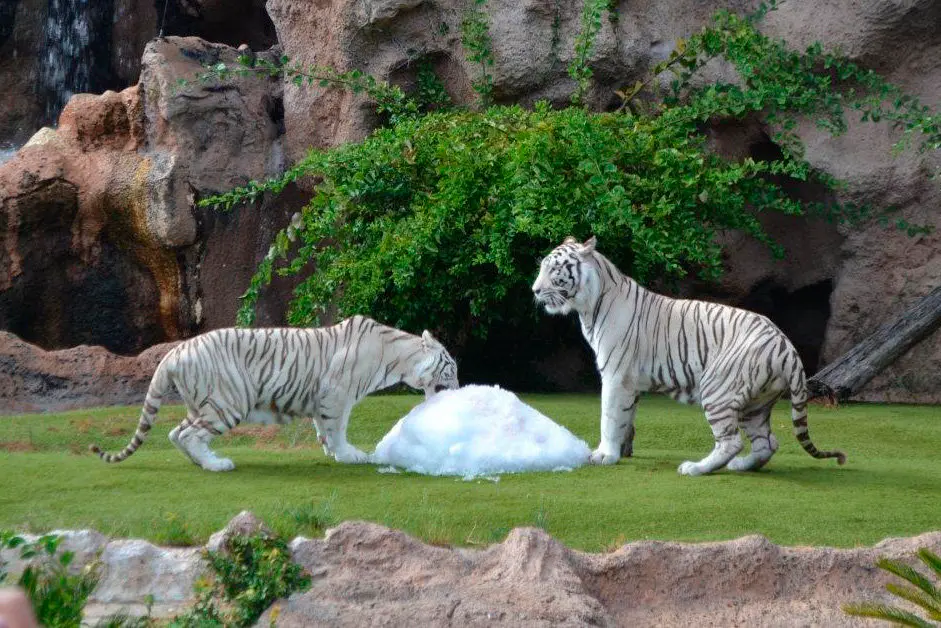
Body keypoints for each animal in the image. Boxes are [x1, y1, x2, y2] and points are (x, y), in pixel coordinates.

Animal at [90, 315, 460, 472]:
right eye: (452, 369)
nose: (460, 388)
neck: (397, 355)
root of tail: (174, 352)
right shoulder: (336, 394)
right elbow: (337, 428)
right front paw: (349, 455)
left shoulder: (324, 398)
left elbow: (325, 428)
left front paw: (332, 451)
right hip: (228, 401)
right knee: (191, 434)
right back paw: (216, 465)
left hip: (202, 402)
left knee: (176, 433)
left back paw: (200, 462)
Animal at [531, 236, 845, 476]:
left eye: (554, 269)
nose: (534, 290)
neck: (589, 305)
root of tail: (786, 345)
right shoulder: (630, 384)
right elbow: (625, 418)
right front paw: (622, 451)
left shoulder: (615, 376)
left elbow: (608, 417)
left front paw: (604, 455)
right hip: (756, 403)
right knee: (767, 443)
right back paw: (741, 466)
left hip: (718, 388)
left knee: (731, 442)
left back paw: (695, 468)